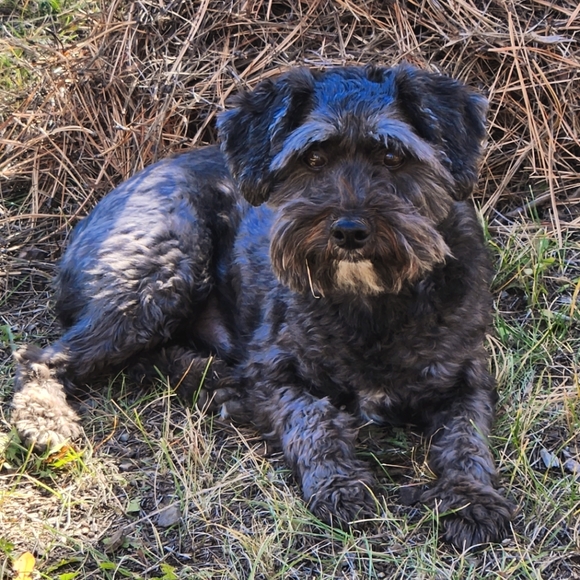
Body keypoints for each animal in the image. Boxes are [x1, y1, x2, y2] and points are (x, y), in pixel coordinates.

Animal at [11, 64, 513, 549]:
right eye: (313, 159)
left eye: (393, 157)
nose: (349, 231)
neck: (371, 304)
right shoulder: (272, 370)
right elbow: (312, 419)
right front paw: (338, 484)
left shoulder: (466, 378)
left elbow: (466, 440)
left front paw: (473, 500)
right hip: (164, 270)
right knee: (44, 357)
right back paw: (47, 417)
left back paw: (215, 382)